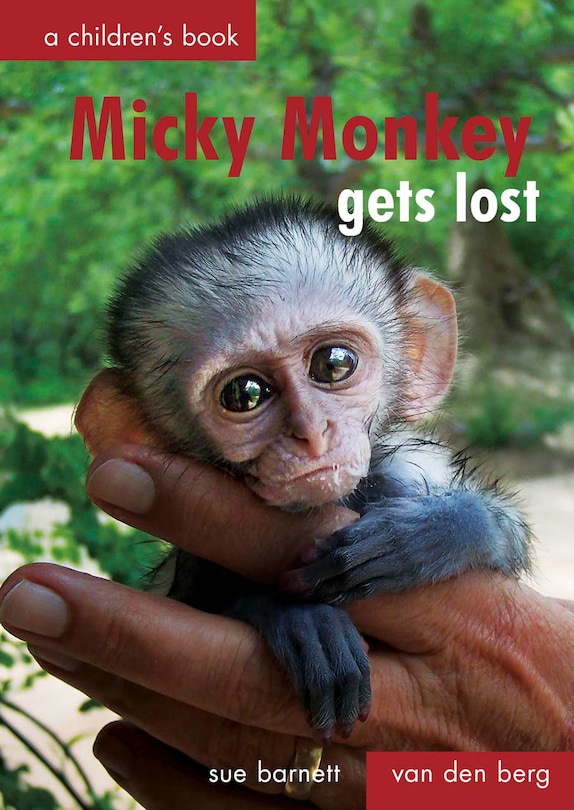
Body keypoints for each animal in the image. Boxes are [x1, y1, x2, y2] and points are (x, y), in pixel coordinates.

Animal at [105, 195, 532, 743]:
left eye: (334, 364)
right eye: (244, 394)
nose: (310, 432)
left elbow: (506, 532)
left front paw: (427, 537)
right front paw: (298, 619)